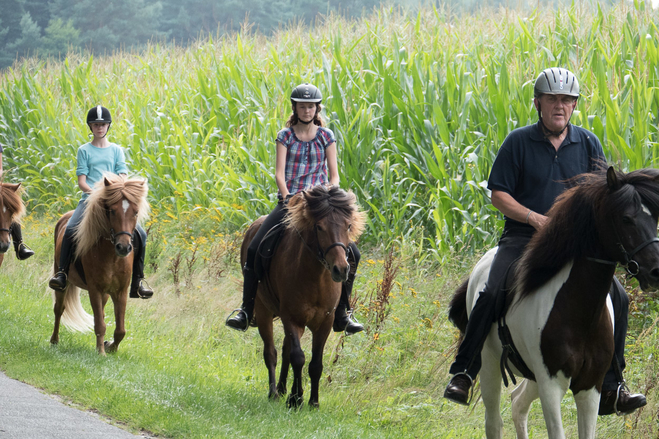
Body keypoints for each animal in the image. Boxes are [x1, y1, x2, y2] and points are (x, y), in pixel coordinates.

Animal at [49, 174, 149, 356]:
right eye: (112, 211)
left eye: (136, 212)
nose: (124, 247)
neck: (112, 256)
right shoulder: (94, 289)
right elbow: (100, 324)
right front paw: (101, 352)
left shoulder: (120, 291)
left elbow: (120, 329)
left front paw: (109, 347)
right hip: (62, 282)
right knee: (59, 309)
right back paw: (54, 341)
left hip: (106, 293)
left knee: (100, 313)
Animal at [242, 185, 366, 410]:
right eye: (319, 227)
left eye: (348, 225)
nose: (341, 269)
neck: (315, 277)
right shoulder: (292, 318)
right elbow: (298, 357)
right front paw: (296, 399)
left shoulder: (325, 321)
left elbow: (315, 363)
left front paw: (313, 402)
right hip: (263, 311)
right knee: (271, 352)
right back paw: (274, 393)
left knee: (284, 351)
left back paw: (282, 389)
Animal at [452, 168, 659, 439]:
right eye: (626, 219)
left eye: (655, 219)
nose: (656, 271)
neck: (578, 311)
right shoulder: (551, 386)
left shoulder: (590, 388)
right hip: (489, 366)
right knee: (494, 422)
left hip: (531, 377)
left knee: (517, 404)